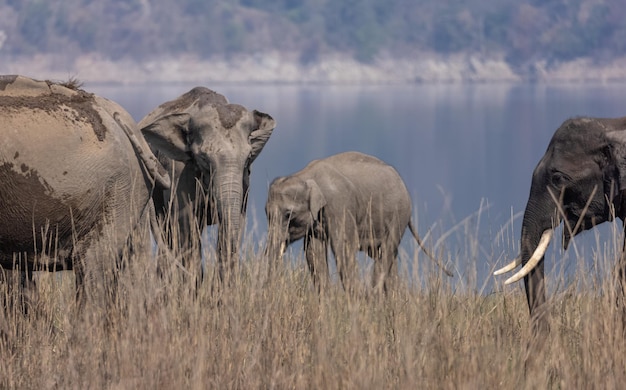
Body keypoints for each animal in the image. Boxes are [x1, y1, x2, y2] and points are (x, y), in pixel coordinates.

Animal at [262, 152, 448, 292]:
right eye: (267, 214)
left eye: (288, 214)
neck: (305, 176)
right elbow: (313, 251)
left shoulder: (339, 206)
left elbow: (343, 247)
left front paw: (355, 298)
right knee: (385, 255)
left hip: (398, 216)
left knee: (386, 251)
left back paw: (374, 294)